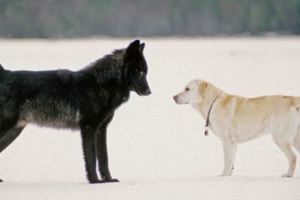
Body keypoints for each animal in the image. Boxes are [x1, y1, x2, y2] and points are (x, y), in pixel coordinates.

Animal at [0, 39, 150, 184]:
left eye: (145, 71)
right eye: (140, 72)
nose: (149, 92)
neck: (101, 84)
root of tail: (4, 74)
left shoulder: (102, 129)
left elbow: (104, 157)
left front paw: (108, 179)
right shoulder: (89, 128)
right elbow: (91, 157)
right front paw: (94, 181)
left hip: (14, 132)